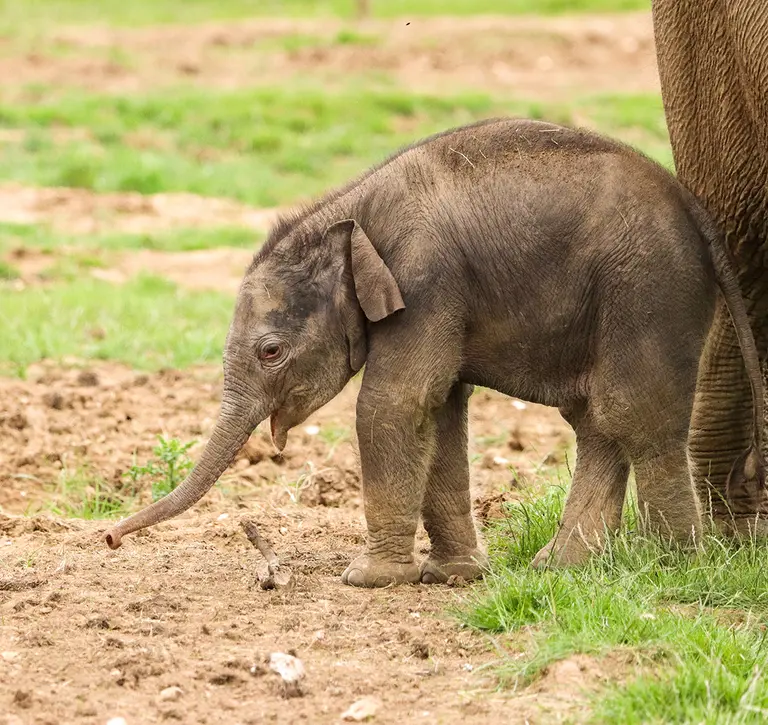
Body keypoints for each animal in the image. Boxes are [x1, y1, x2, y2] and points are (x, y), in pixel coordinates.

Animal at [103, 118, 764, 583]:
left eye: (270, 352)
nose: (109, 538)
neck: (350, 212)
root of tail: (697, 213)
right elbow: (441, 408)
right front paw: (454, 576)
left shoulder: (426, 280)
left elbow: (395, 402)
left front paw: (369, 580)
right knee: (597, 421)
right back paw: (560, 568)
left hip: (647, 286)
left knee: (633, 414)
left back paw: (674, 565)